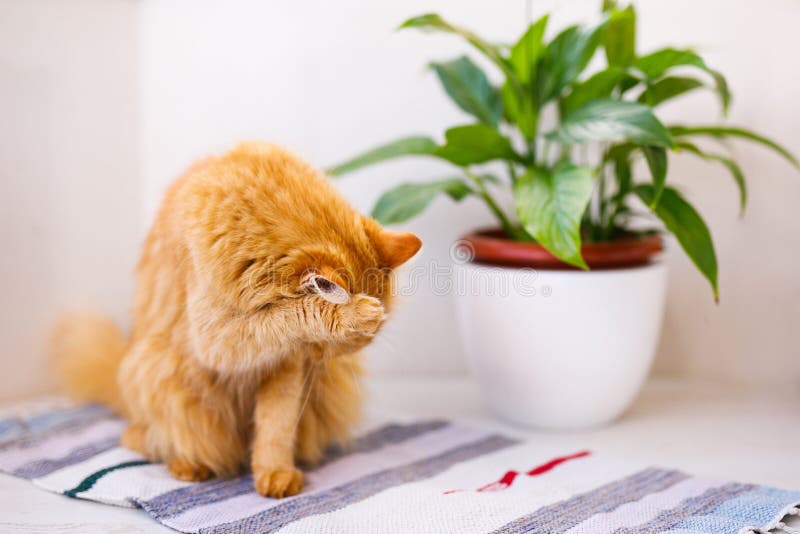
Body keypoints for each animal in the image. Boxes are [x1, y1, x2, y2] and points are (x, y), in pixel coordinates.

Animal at [52, 141, 422, 498]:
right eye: (327, 344)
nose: (318, 359)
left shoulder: (285, 368)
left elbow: (275, 427)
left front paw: (274, 475)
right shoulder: (217, 340)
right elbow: (292, 314)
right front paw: (354, 313)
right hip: (160, 372)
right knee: (142, 439)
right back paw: (187, 465)